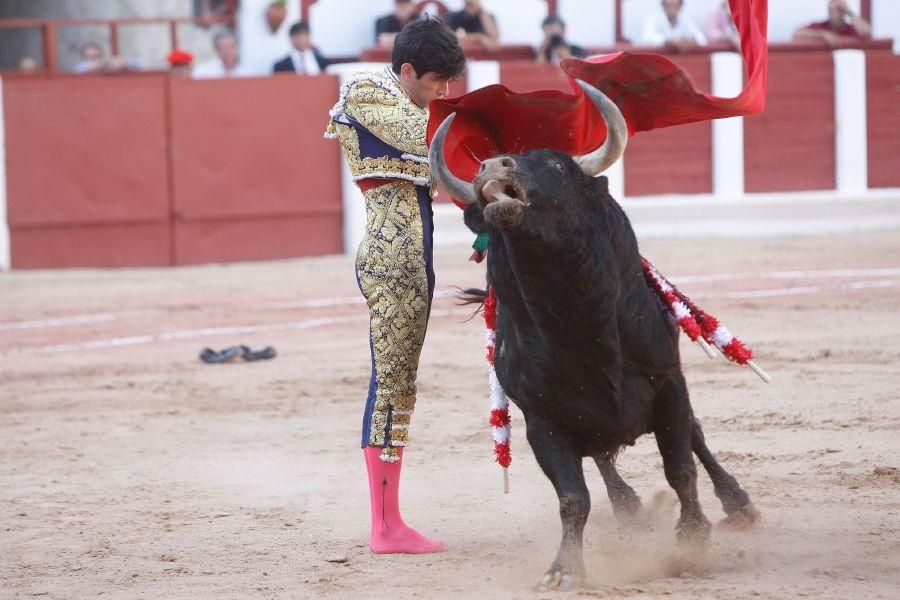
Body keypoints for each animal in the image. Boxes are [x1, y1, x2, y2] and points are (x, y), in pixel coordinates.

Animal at [428, 82, 760, 592]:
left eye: (557, 166)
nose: (490, 167)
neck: (578, 321)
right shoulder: (542, 422)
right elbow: (573, 498)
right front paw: (564, 568)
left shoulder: (668, 385)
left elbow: (681, 468)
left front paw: (692, 541)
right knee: (603, 459)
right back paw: (628, 507)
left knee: (695, 439)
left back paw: (738, 503)